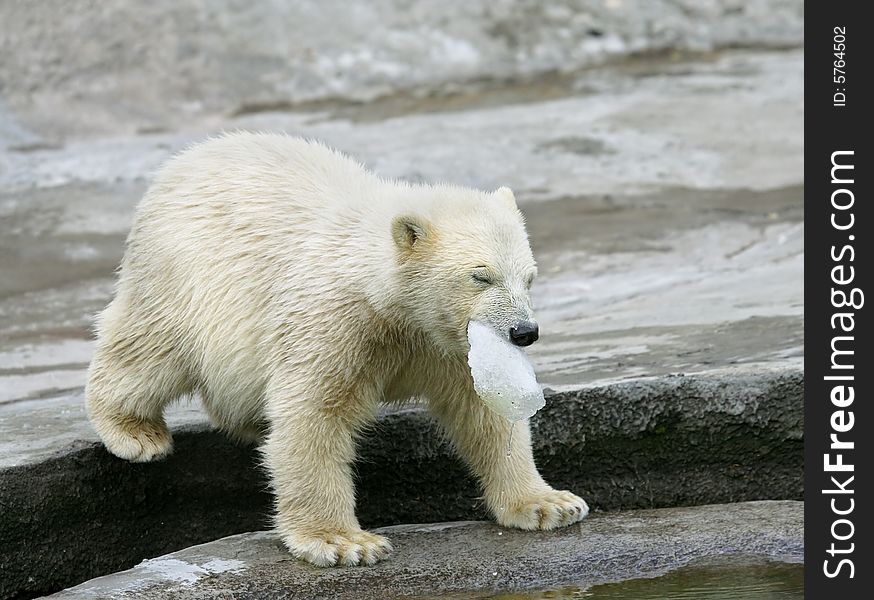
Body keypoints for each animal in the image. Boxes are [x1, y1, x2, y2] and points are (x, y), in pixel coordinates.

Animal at [85, 132, 588, 568]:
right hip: (183, 276)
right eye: (481, 275)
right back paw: (135, 433)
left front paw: (549, 504)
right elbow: (313, 415)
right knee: (151, 349)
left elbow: (485, 412)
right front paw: (345, 542)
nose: (524, 332)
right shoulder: (336, 322)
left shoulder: (445, 344)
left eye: (528, 277)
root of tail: (181, 164)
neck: (390, 304)